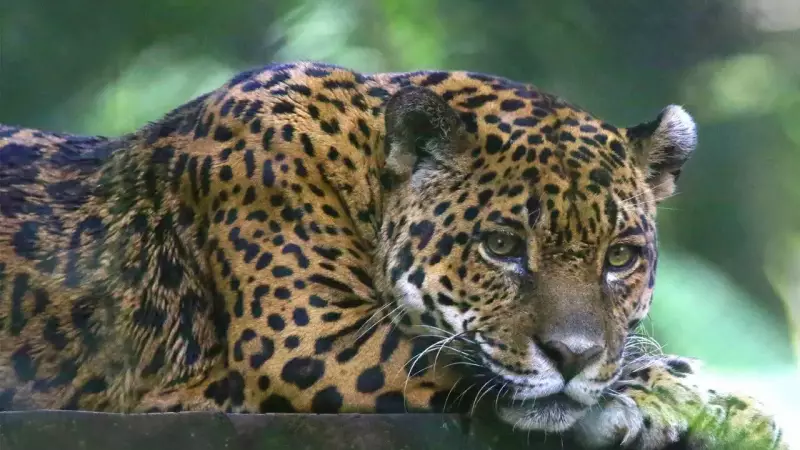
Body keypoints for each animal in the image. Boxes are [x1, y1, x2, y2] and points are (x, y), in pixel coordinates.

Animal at [0, 61, 786, 449]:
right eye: (502, 247)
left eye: (620, 258)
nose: (573, 356)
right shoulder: (307, 342)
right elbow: (445, 359)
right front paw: (689, 399)